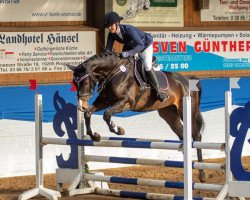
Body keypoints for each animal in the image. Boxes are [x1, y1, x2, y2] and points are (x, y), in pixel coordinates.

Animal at [66, 52, 205, 183]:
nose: (81, 106)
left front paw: (118, 129)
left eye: (84, 82)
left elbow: (107, 114)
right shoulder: (104, 101)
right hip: (169, 114)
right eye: (74, 83)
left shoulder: (127, 102)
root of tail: (187, 80)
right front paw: (95, 136)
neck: (114, 73)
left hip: (186, 110)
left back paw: (202, 174)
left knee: (196, 136)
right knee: (182, 134)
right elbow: (88, 114)